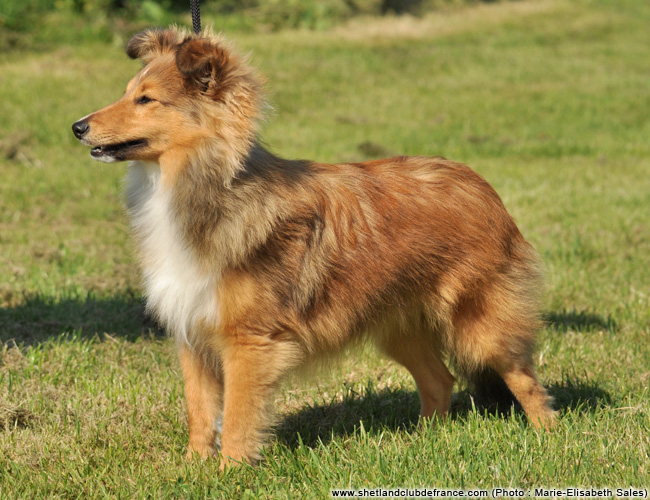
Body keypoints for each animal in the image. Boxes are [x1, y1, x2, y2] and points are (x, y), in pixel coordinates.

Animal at [73, 26, 556, 464]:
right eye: (127, 93)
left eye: (146, 100)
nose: (77, 127)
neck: (197, 188)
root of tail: (480, 186)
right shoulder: (193, 335)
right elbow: (200, 411)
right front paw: (194, 468)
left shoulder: (248, 343)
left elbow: (238, 415)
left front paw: (229, 471)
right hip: (398, 326)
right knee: (440, 380)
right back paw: (422, 441)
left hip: (480, 323)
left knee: (523, 378)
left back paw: (547, 436)